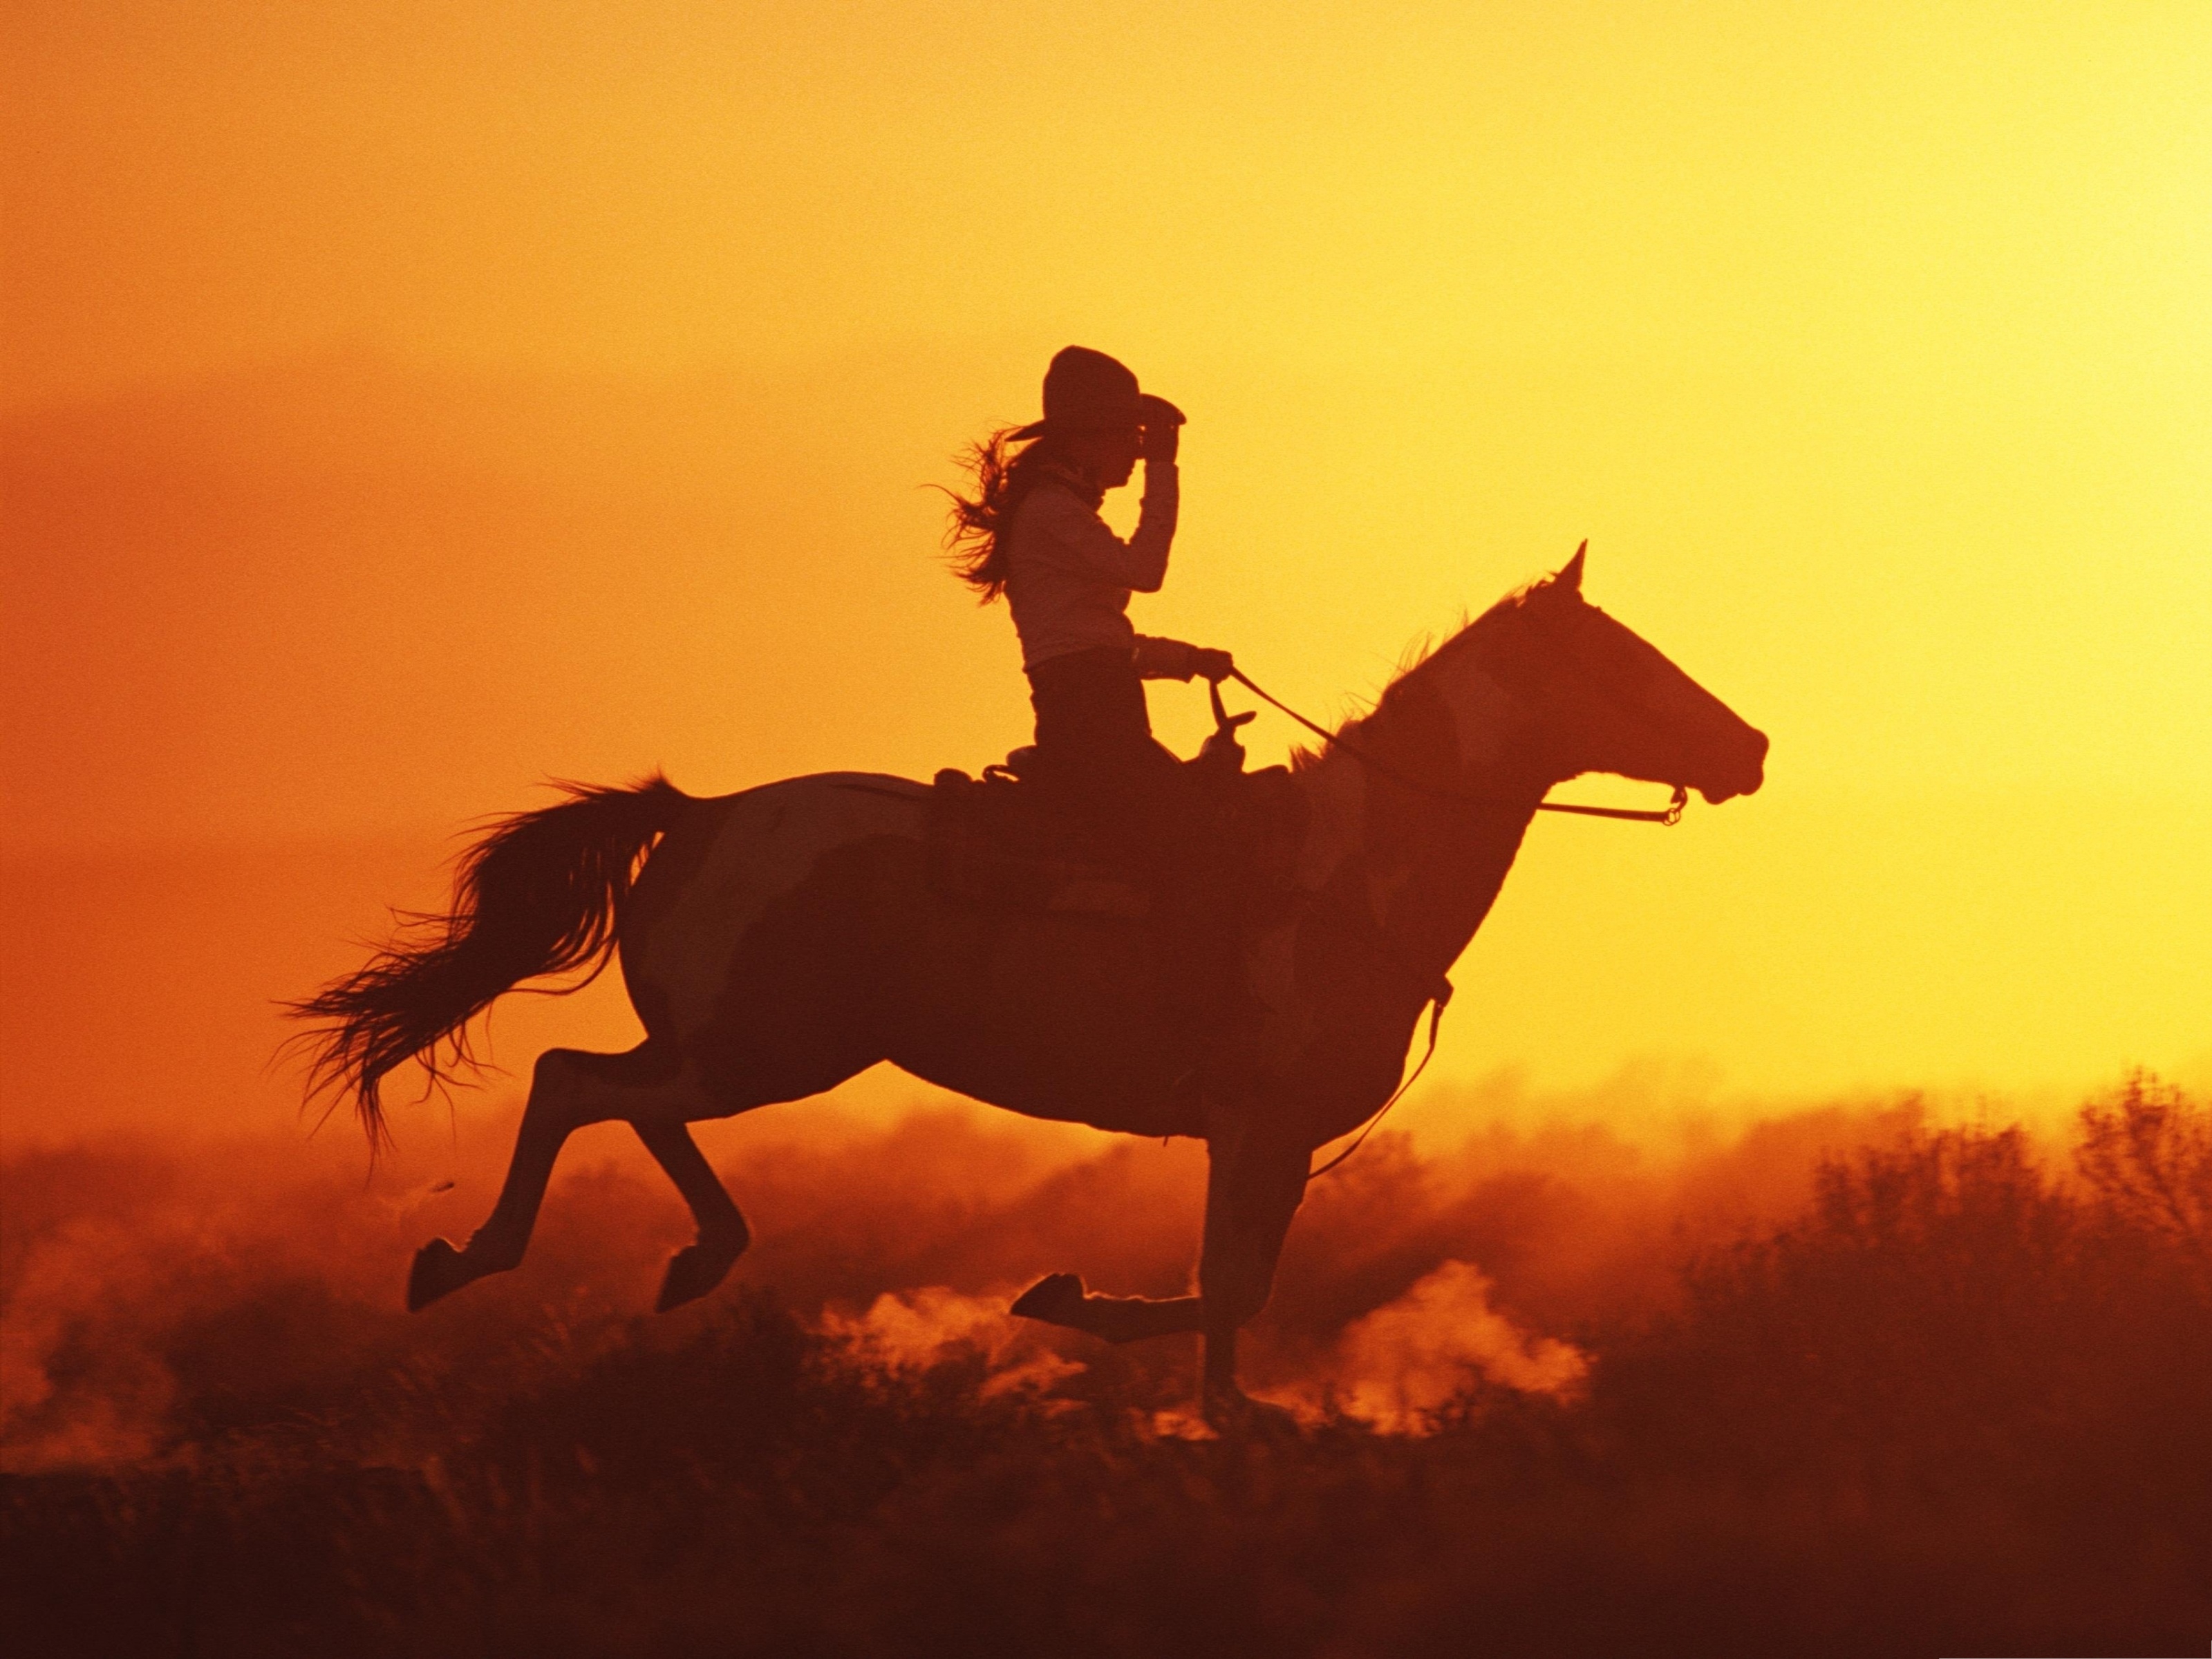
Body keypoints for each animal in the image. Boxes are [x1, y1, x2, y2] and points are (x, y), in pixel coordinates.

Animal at [294, 548, 1770, 1433]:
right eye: (1628, 662)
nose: (1750, 747)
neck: (1350, 871)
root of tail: (702, 816)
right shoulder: (1261, 1123)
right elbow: (1230, 1288)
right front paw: (1179, 1379)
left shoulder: (1270, 1140)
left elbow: (1232, 1286)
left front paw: (1109, 1329)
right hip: (763, 1050)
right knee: (572, 1085)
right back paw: (468, 1256)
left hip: (747, 1049)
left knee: (630, 1102)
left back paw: (697, 1256)